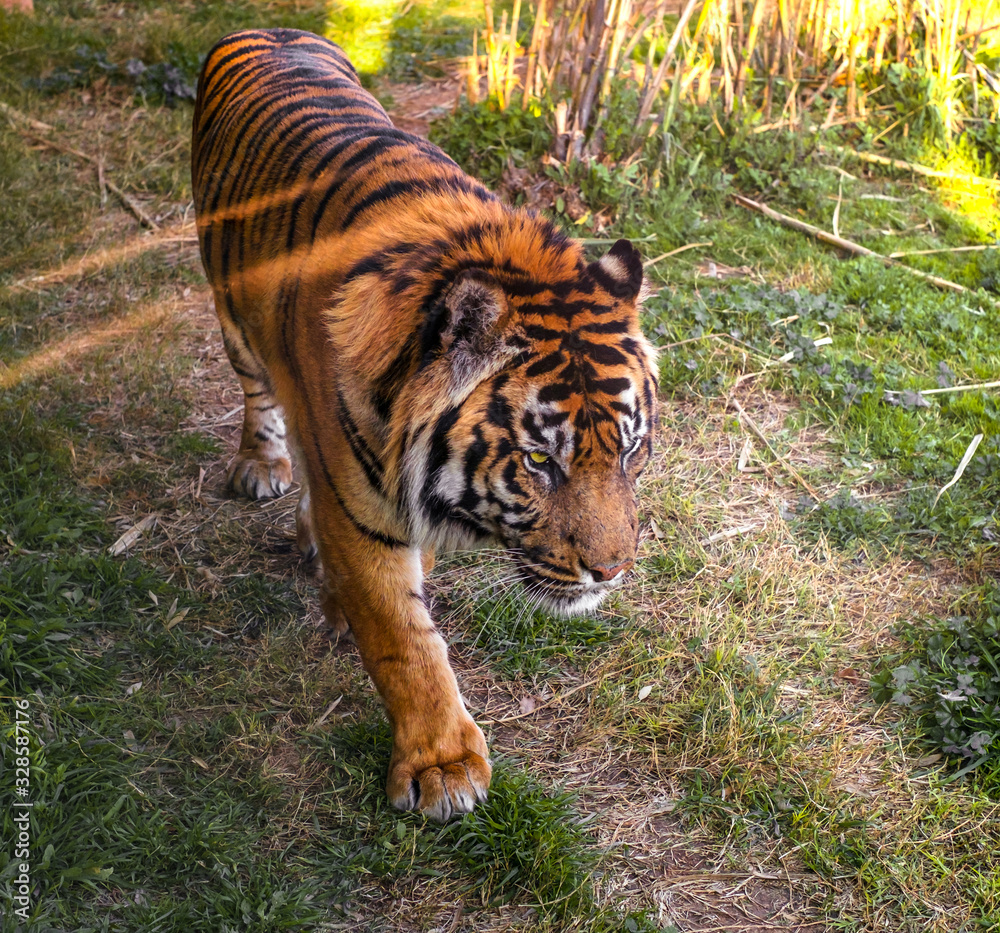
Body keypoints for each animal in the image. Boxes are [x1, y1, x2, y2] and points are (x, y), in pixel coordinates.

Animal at [191, 28, 658, 822]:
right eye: (540, 462)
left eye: (630, 452)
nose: (612, 571)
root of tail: (272, 30)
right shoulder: (363, 512)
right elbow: (405, 641)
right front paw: (443, 766)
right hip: (232, 318)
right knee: (259, 396)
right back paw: (262, 465)